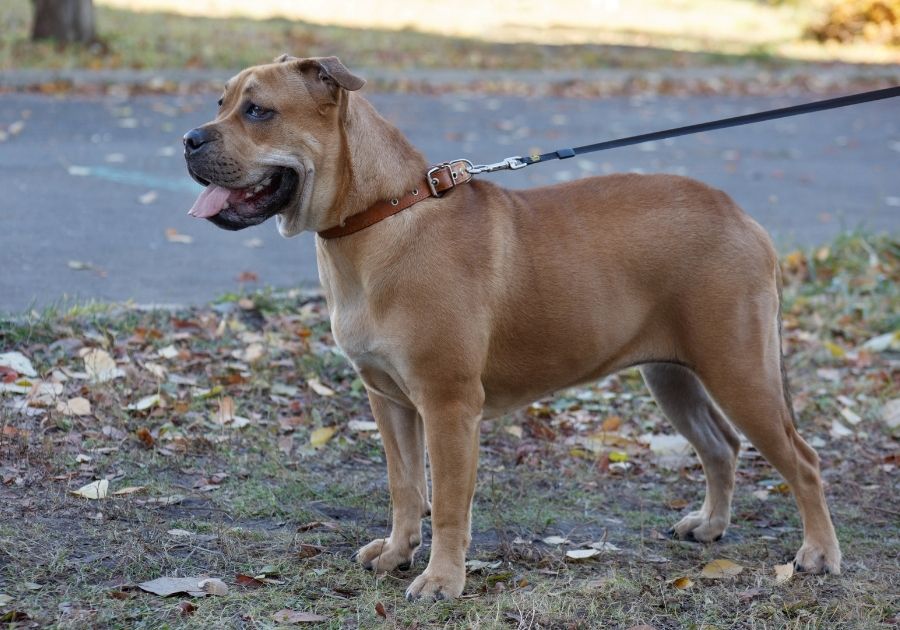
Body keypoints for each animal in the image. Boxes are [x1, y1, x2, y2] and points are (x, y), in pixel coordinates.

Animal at [185, 55, 844, 604]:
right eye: (221, 102)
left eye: (258, 111)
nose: (189, 138)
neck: (378, 218)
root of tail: (742, 217)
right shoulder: (388, 400)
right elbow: (405, 487)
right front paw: (397, 554)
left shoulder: (448, 405)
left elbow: (449, 501)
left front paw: (441, 581)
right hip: (673, 377)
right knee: (719, 446)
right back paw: (709, 526)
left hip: (739, 371)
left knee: (802, 460)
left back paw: (817, 554)